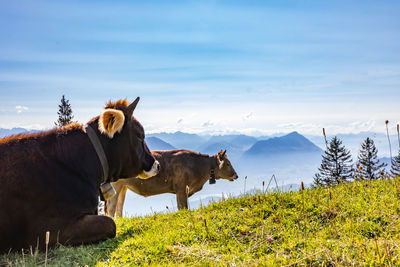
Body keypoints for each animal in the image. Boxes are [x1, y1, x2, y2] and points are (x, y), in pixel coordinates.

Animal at [104, 151, 239, 218]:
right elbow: (182, 206)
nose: (236, 175)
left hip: (123, 187)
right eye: (227, 163)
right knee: (111, 207)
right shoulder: (181, 189)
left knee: (119, 206)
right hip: (116, 187)